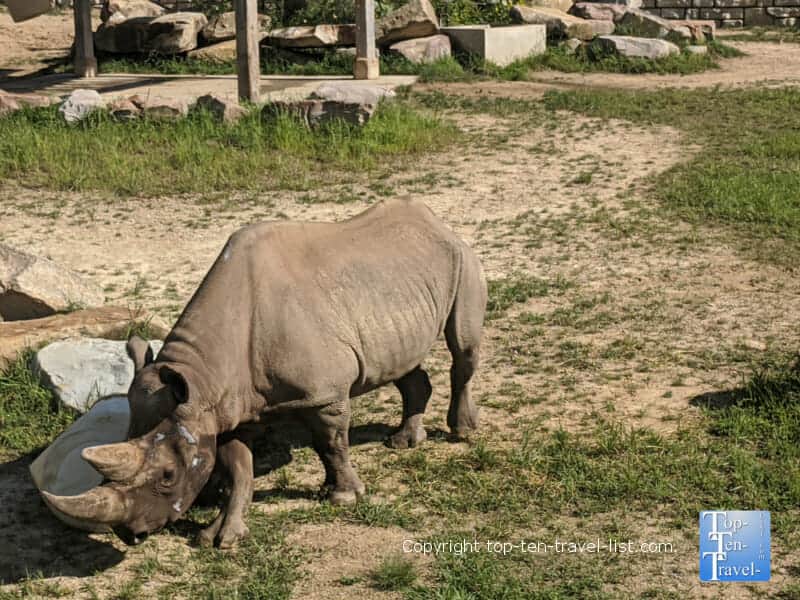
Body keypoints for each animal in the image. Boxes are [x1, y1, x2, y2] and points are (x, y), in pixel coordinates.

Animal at [43, 198, 487, 548]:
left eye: (167, 476)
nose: (130, 535)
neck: (203, 377)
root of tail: (435, 221)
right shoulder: (225, 407)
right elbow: (240, 465)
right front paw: (220, 537)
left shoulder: (323, 394)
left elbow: (331, 444)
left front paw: (342, 496)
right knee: (400, 363)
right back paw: (404, 442)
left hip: (462, 258)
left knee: (462, 346)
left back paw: (462, 432)